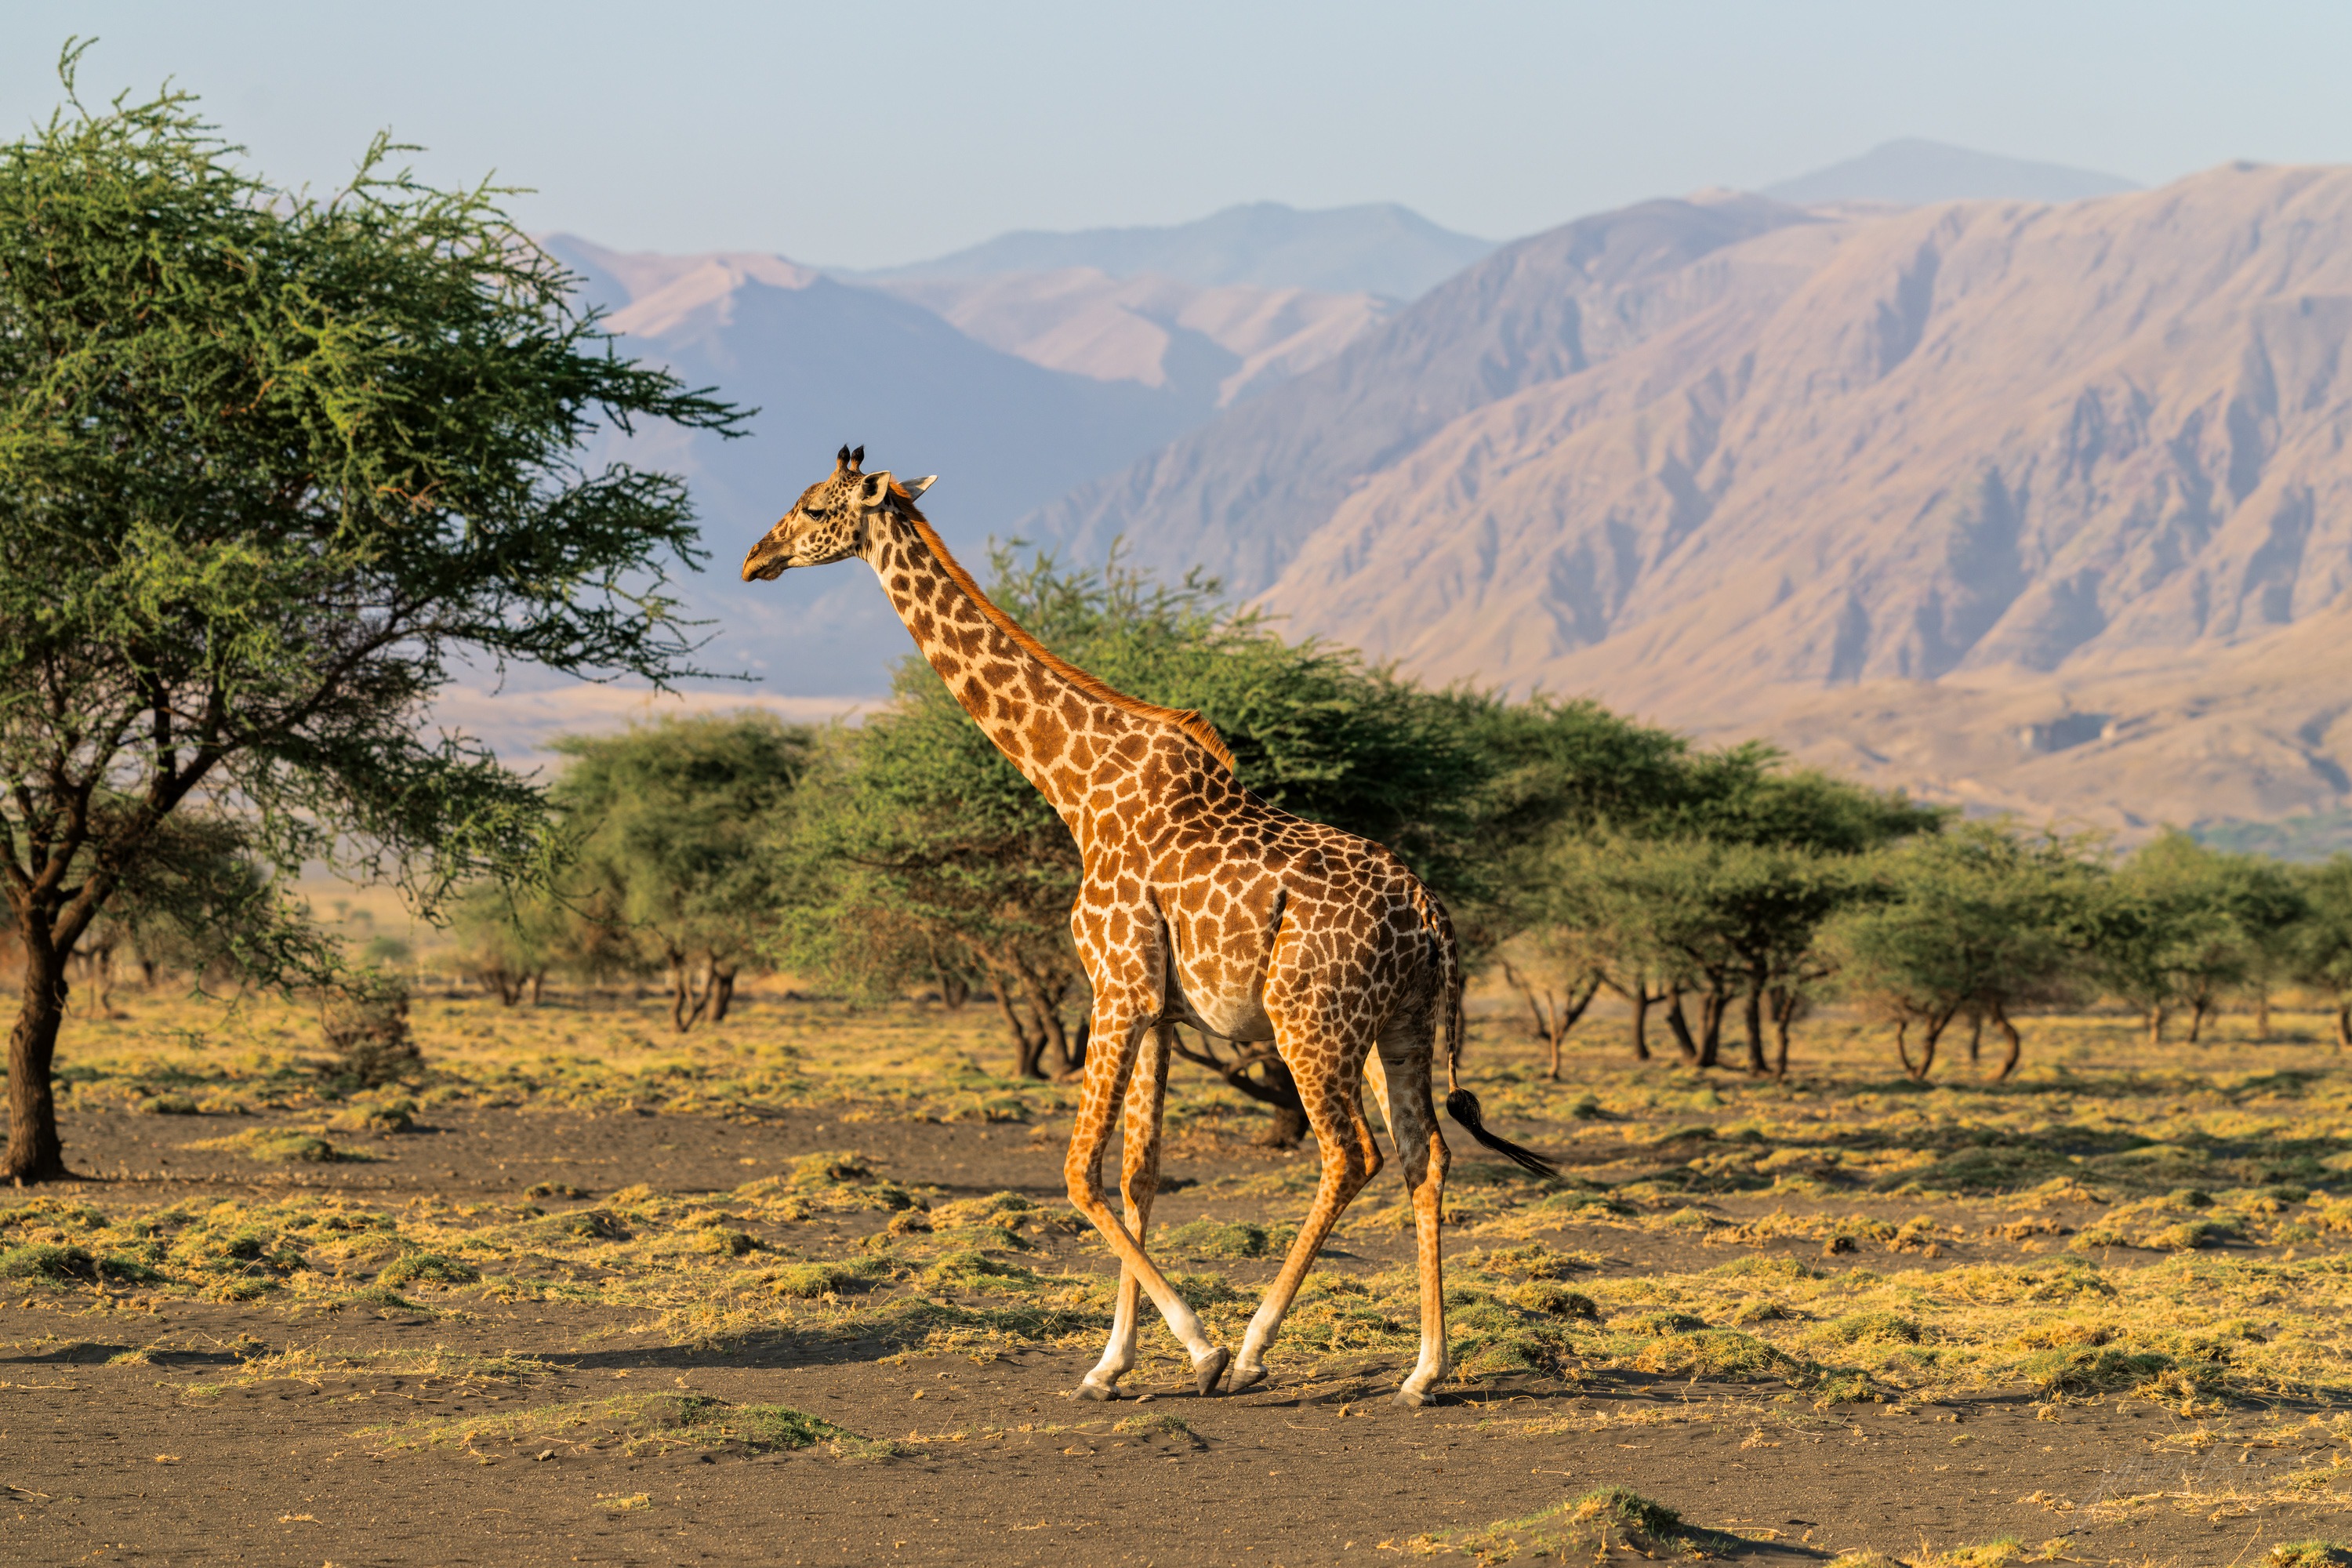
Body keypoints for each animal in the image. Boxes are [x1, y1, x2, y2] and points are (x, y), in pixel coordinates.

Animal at [742, 447, 1556, 1406]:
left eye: (812, 506)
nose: (754, 558)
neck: (1077, 786)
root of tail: (1433, 916)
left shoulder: (1116, 986)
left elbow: (1077, 1171)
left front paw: (1198, 1349)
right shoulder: (1161, 1009)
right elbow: (1140, 1173)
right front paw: (1111, 1363)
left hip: (1311, 1020)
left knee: (1349, 1154)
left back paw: (1256, 1350)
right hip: (1399, 1025)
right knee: (1425, 1157)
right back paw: (1424, 1371)